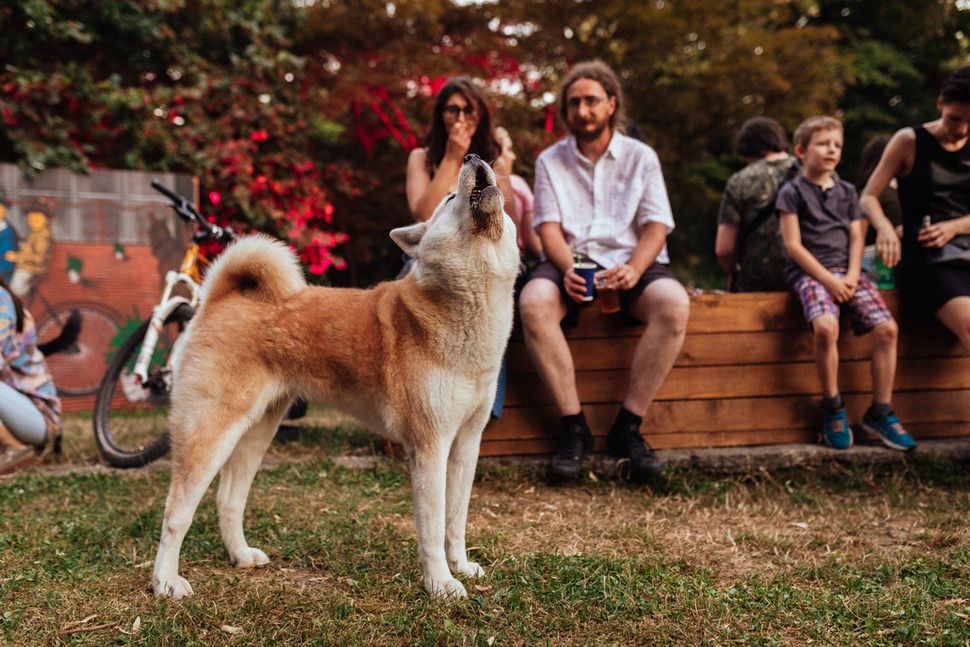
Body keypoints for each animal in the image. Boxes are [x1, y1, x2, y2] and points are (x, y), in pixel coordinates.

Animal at [149, 154, 520, 600]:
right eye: (449, 197)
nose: (473, 157)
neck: (464, 311)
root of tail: (220, 299)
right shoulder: (429, 447)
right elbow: (432, 529)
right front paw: (440, 584)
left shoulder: (466, 444)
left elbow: (455, 520)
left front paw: (460, 566)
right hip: (211, 430)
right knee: (176, 511)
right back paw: (165, 580)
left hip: (257, 430)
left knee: (228, 500)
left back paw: (240, 556)